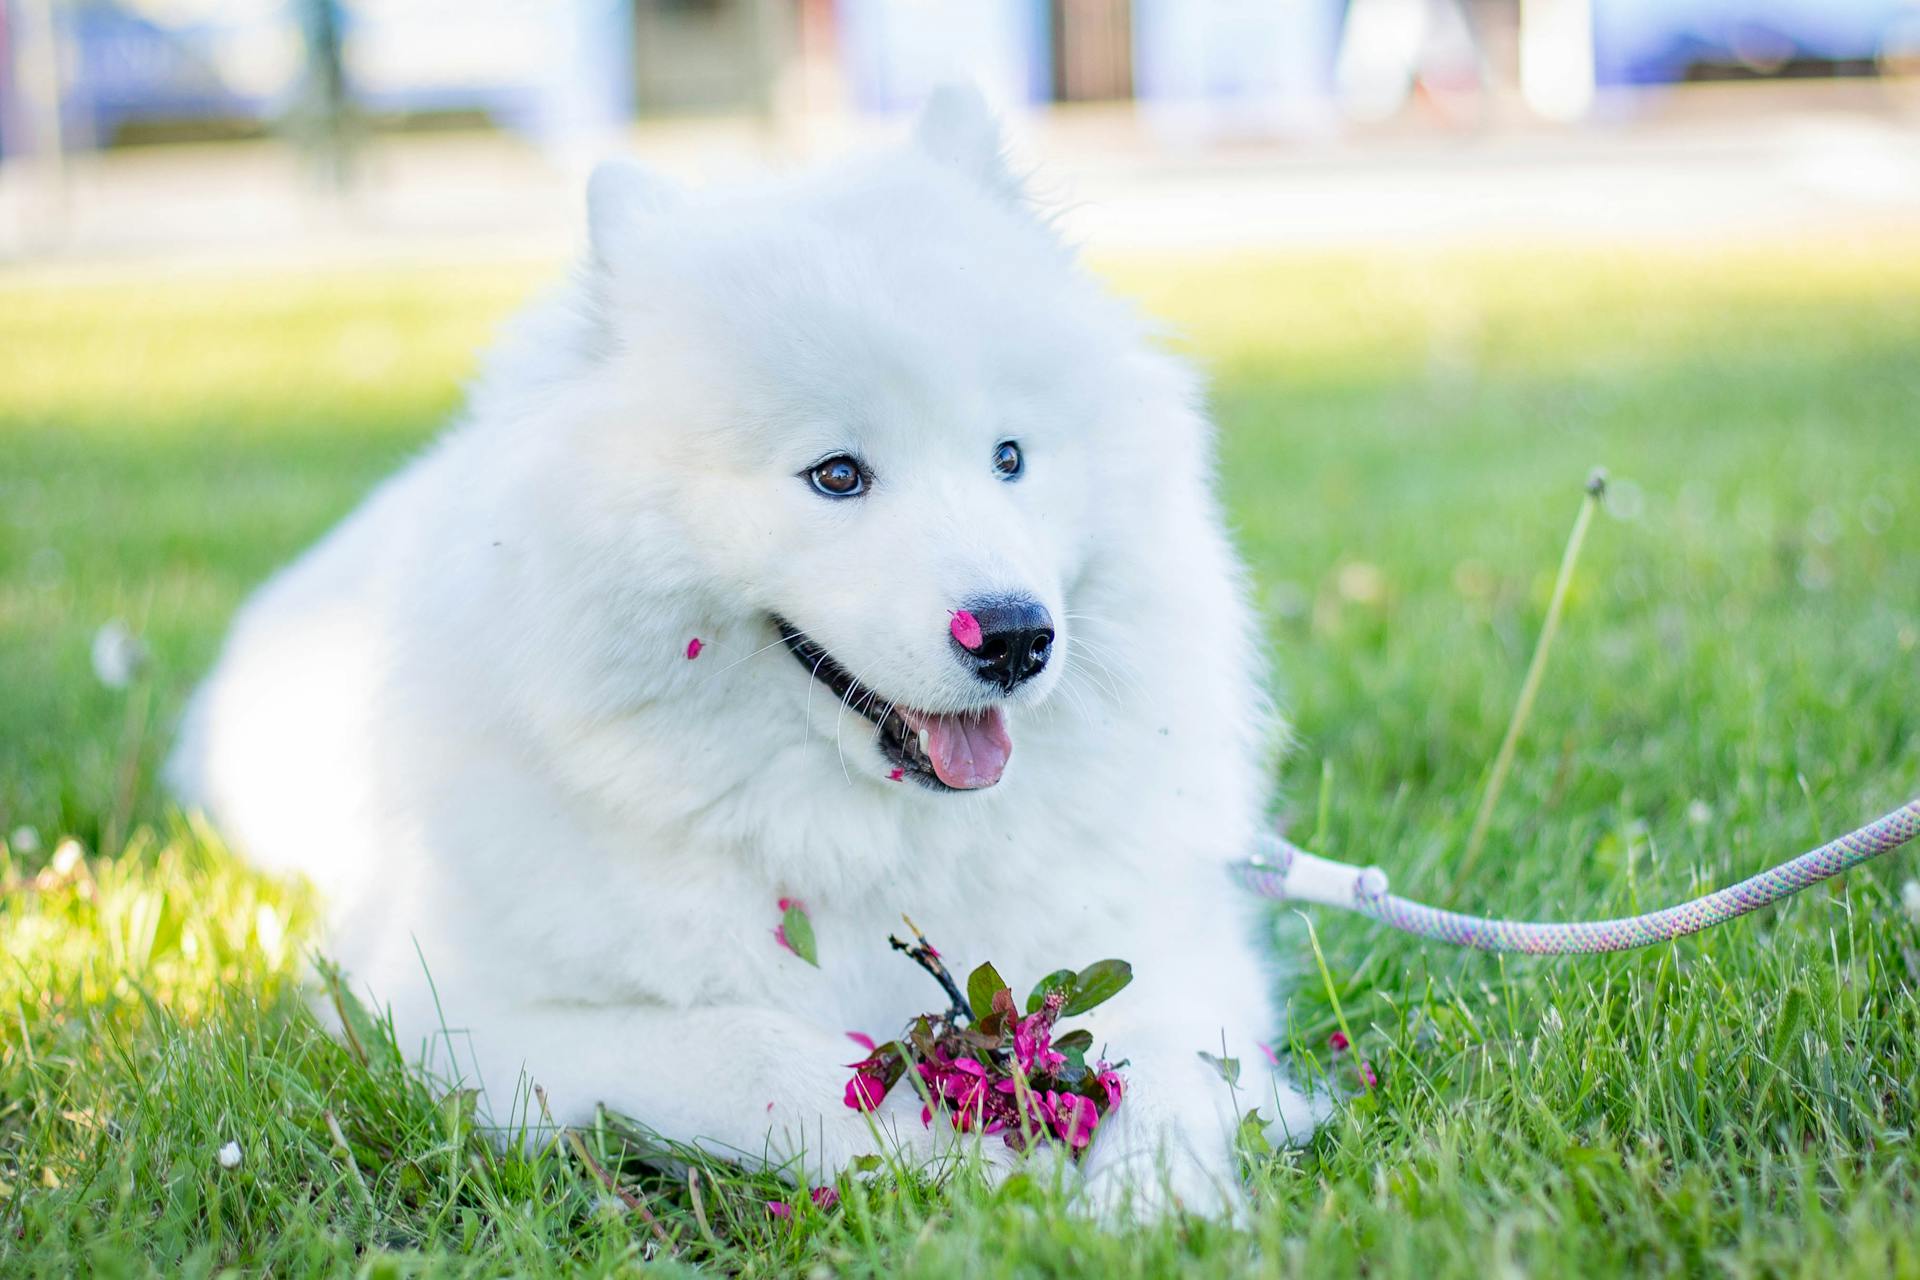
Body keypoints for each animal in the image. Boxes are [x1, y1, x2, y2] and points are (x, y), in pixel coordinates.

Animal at [168, 87, 1320, 1212]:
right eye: (837, 475)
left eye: (1009, 458)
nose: (1014, 636)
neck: (862, 843)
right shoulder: (463, 1018)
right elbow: (759, 1052)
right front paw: (972, 1175)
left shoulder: (1174, 949)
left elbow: (1173, 1065)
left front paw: (1154, 1202)